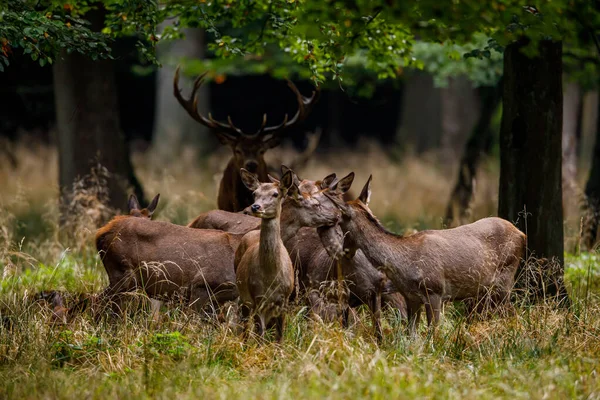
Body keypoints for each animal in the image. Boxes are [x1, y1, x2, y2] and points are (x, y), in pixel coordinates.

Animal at [330, 177, 528, 336]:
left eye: (339, 222)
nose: (344, 252)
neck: (404, 265)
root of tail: (522, 234)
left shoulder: (435, 290)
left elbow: (434, 332)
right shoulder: (411, 297)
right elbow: (411, 334)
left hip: (505, 278)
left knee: (513, 314)